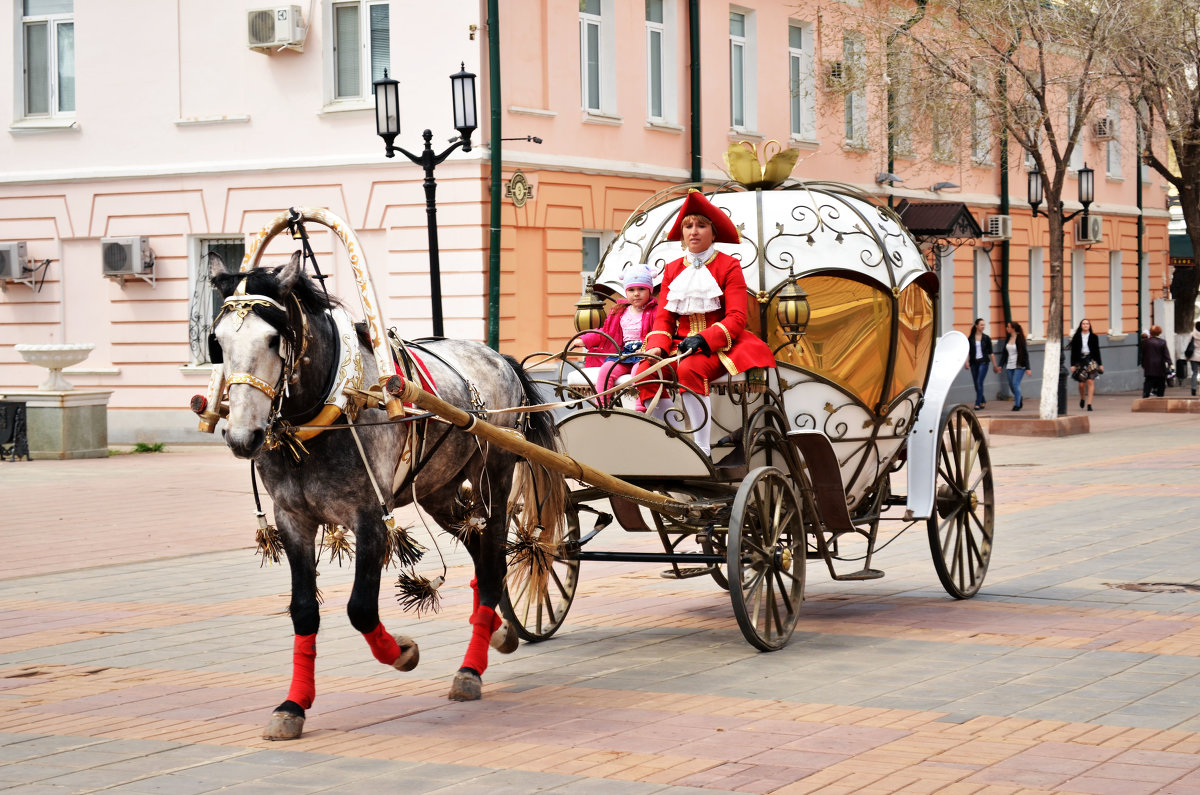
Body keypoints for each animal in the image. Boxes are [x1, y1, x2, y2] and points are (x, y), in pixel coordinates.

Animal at [207, 253, 561, 739]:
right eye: (217, 342)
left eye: (273, 338)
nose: (244, 437)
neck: (329, 409)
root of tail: (498, 355)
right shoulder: (292, 519)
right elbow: (303, 610)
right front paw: (293, 706)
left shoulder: (369, 516)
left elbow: (360, 608)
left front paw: (403, 652)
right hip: (439, 491)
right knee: (481, 556)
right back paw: (496, 630)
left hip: (495, 478)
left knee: (491, 565)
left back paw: (471, 668)